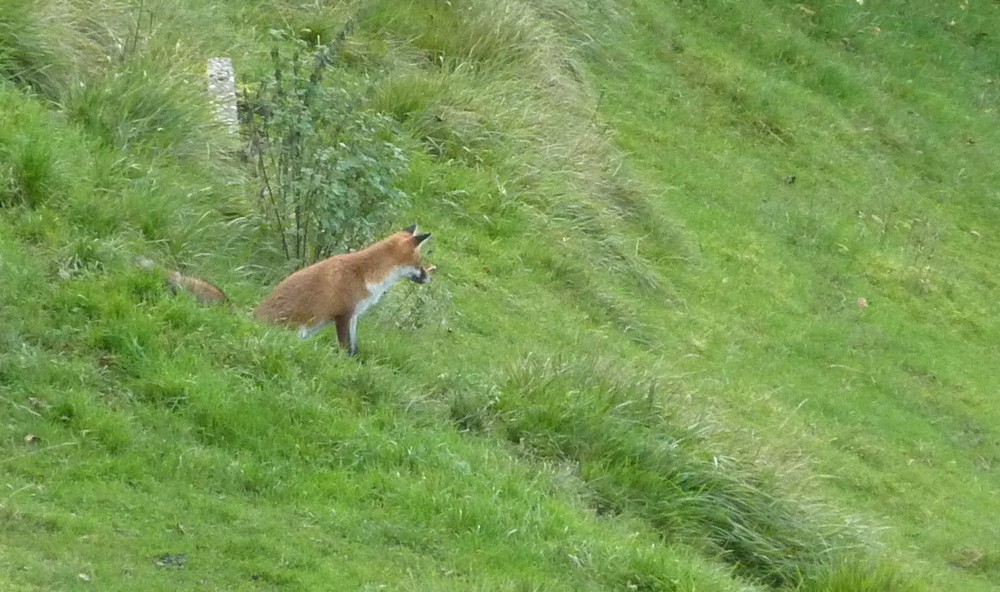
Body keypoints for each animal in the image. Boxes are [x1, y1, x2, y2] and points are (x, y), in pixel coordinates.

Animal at [252, 223, 432, 354]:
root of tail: (252, 319)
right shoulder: (343, 315)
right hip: (298, 331)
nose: (430, 279)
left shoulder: (354, 316)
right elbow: (346, 348)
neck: (365, 274)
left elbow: (354, 348)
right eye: (419, 263)